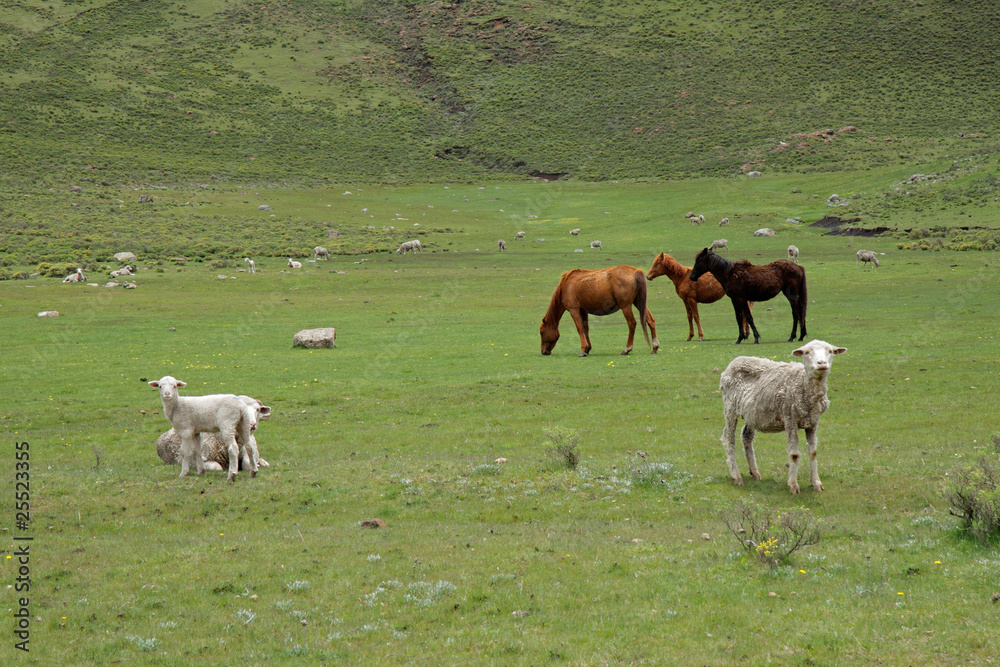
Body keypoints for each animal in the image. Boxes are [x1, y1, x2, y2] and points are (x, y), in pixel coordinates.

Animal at [718, 339, 847, 493]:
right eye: (806, 352)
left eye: (830, 351)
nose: (821, 363)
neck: (804, 384)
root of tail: (733, 362)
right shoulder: (789, 418)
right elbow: (794, 454)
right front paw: (793, 485)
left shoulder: (813, 421)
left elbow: (813, 452)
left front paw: (816, 483)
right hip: (730, 407)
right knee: (728, 439)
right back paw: (736, 476)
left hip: (752, 413)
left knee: (746, 437)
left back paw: (754, 472)